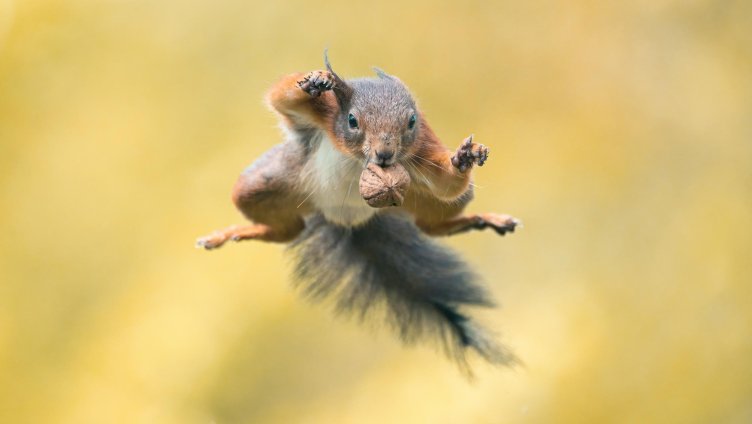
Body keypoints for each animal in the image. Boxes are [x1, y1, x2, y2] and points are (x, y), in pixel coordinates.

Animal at [197, 52, 520, 372]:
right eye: (352, 120)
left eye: (411, 121)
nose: (384, 154)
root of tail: (342, 219)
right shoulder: (323, 113)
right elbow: (281, 97)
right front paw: (315, 81)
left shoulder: (423, 146)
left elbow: (446, 184)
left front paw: (464, 158)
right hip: (262, 185)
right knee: (286, 228)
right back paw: (234, 233)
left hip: (421, 199)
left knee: (431, 224)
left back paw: (482, 220)